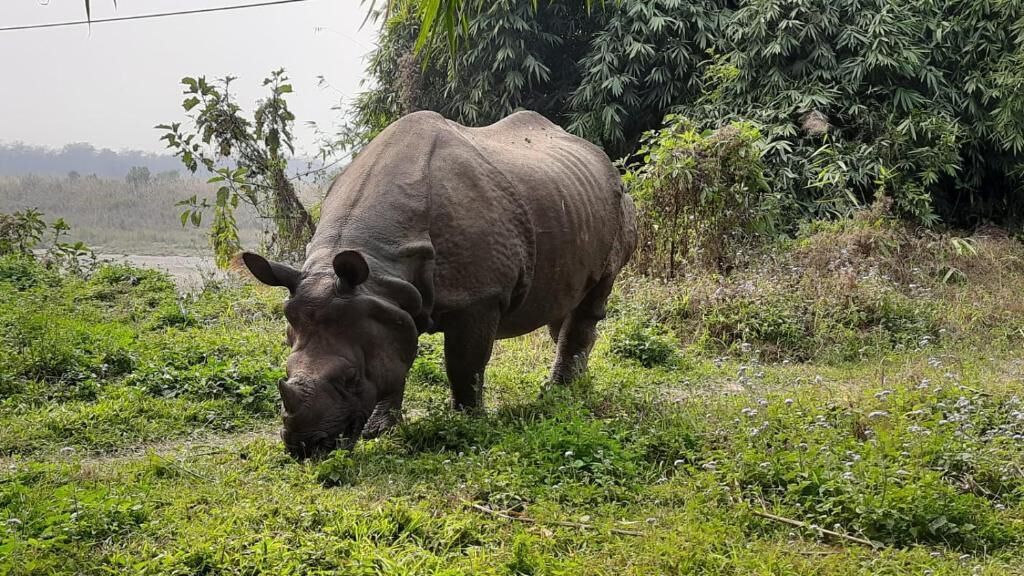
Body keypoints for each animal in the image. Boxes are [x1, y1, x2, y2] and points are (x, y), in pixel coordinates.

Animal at [241, 110, 636, 458]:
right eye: (285, 372)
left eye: (350, 378)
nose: (305, 448)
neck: (380, 266)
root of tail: (600, 157)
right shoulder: (387, 303)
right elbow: (394, 360)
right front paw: (380, 430)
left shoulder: (478, 297)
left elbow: (463, 364)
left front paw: (468, 424)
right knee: (565, 302)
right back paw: (576, 380)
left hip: (619, 202)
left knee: (593, 294)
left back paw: (559, 393)